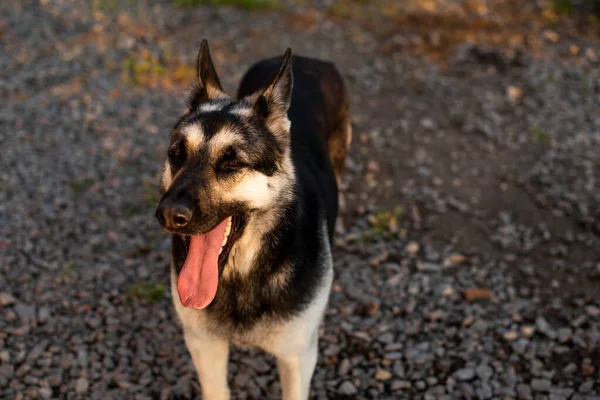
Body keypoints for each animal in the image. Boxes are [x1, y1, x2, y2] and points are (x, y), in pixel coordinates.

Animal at [155, 38, 352, 400]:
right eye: (177, 155)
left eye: (231, 163)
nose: (169, 215)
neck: (241, 274)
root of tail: (309, 60)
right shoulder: (204, 346)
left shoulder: (298, 357)